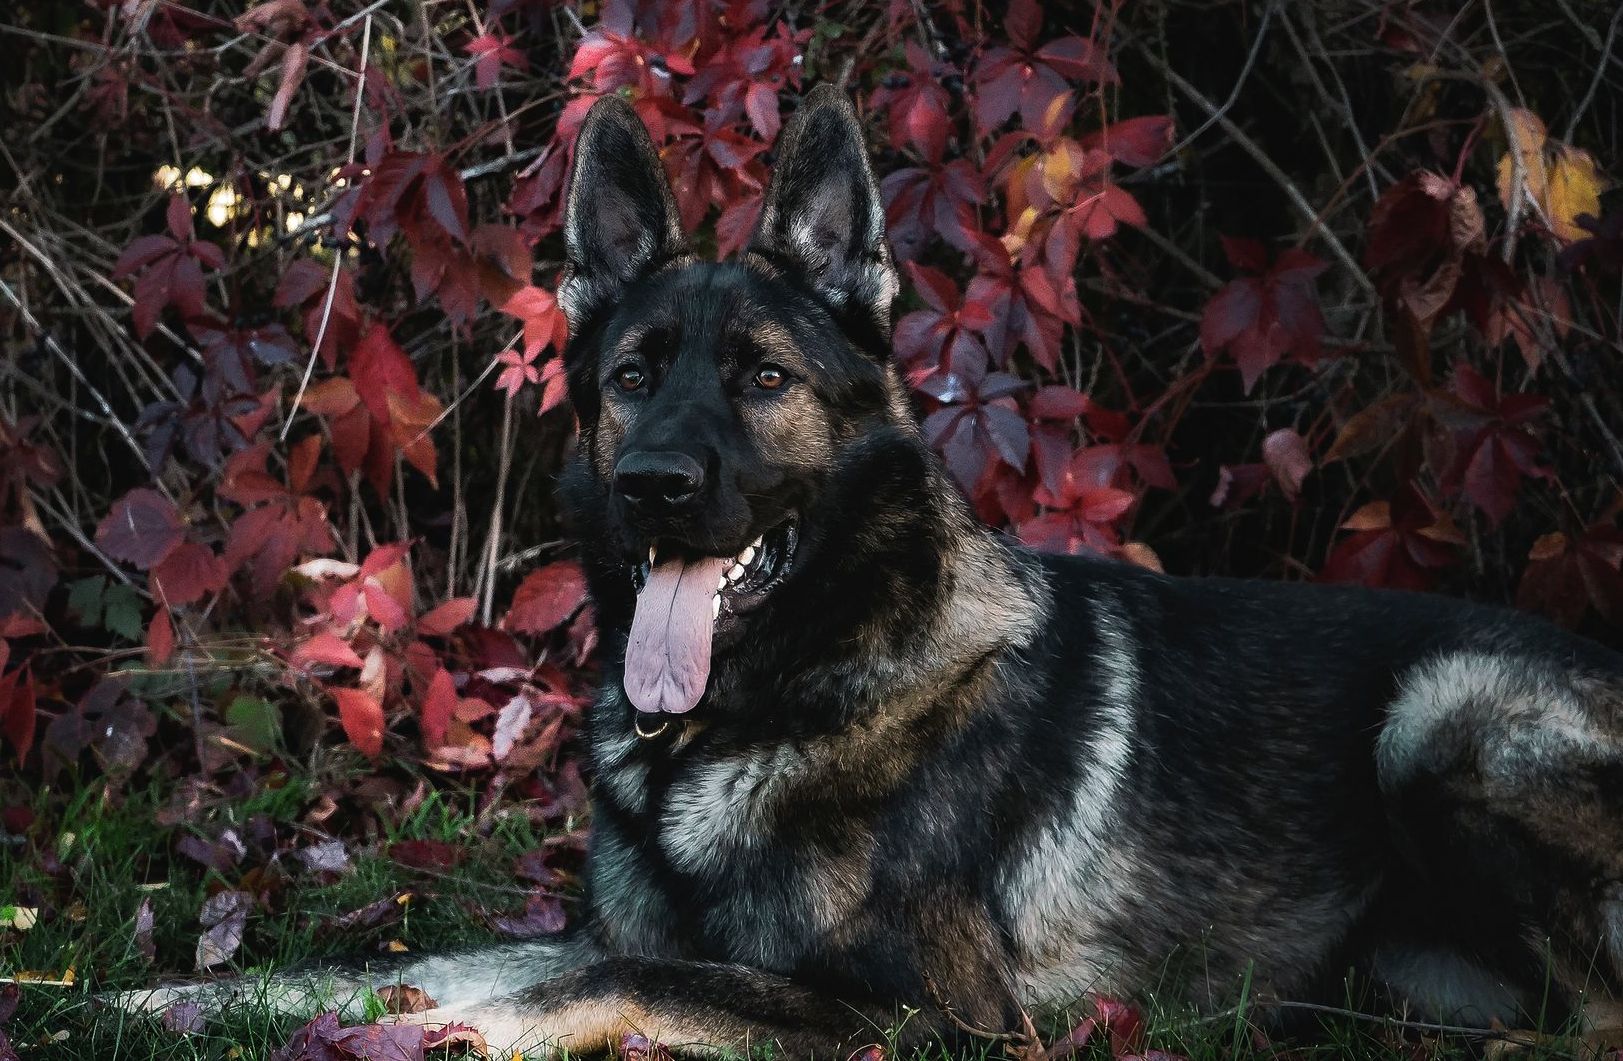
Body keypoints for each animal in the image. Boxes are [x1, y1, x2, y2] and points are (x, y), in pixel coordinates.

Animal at [120, 85, 1623, 1061]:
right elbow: (408, 956)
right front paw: (152, 1000)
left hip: (1442, 715)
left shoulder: (923, 1016)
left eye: (765, 381)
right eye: (630, 378)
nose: (651, 486)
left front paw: (444, 1032)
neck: (746, 715)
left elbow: (599, 974)